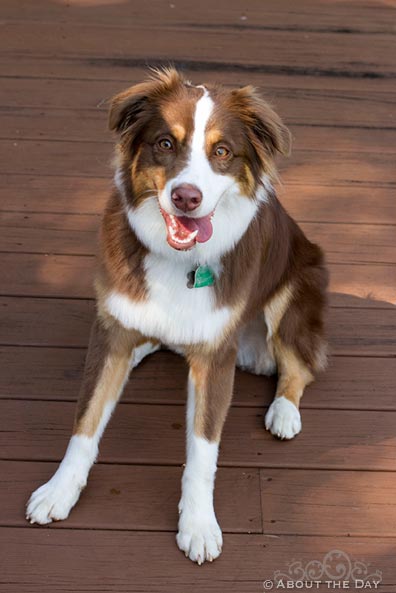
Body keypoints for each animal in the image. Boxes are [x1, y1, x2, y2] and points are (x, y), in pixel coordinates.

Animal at [25, 68, 328, 564]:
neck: (178, 258)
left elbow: (202, 452)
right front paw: (59, 490)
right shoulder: (109, 333)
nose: (186, 197)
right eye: (165, 143)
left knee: (299, 365)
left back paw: (284, 411)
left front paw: (198, 524)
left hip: (296, 290)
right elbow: (85, 423)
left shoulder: (215, 357)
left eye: (222, 152)